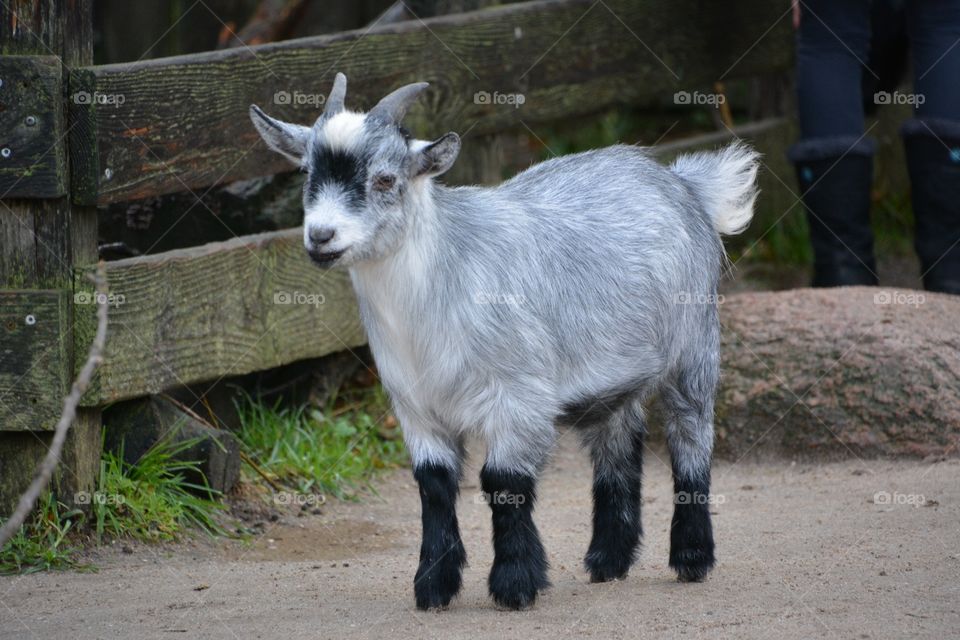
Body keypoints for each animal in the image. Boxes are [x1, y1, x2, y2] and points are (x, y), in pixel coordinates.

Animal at [250, 73, 759, 610]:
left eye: (385, 179)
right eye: (306, 173)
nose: (321, 236)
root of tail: (683, 183)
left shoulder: (518, 396)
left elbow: (504, 483)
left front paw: (515, 583)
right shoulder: (415, 406)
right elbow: (434, 486)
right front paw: (433, 585)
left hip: (694, 346)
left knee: (691, 436)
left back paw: (691, 558)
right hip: (611, 374)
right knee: (619, 441)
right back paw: (608, 561)